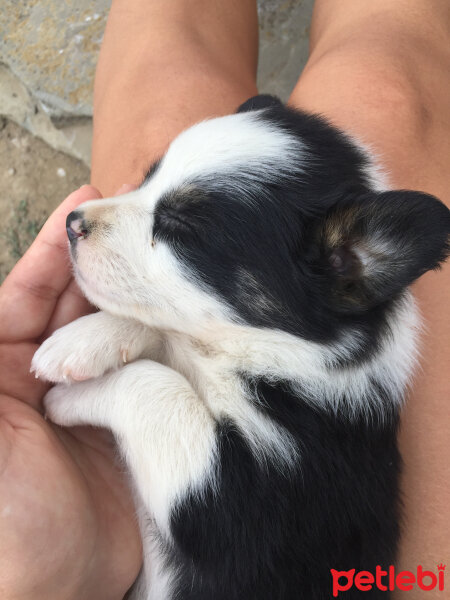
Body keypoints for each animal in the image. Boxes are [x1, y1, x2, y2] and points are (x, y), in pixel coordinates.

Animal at [32, 96, 450, 596]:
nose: (72, 222)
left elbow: (155, 388)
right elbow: (163, 334)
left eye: (180, 227)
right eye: (149, 179)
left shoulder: (238, 505)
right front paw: (80, 342)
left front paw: (67, 397)